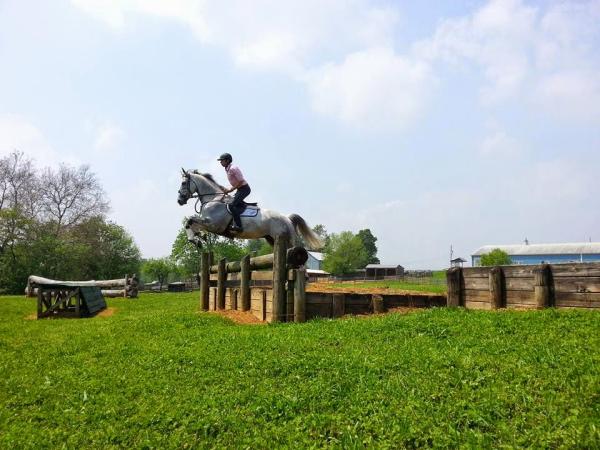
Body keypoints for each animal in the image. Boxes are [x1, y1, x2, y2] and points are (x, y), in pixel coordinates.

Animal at [176, 170, 322, 250]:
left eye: (183, 183)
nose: (179, 200)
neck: (213, 198)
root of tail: (287, 218)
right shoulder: (209, 223)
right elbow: (192, 224)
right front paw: (200, 238)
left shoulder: (214, 224)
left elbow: (190, 220)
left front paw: (196, 240)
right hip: (271, 239)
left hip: (286, 239)